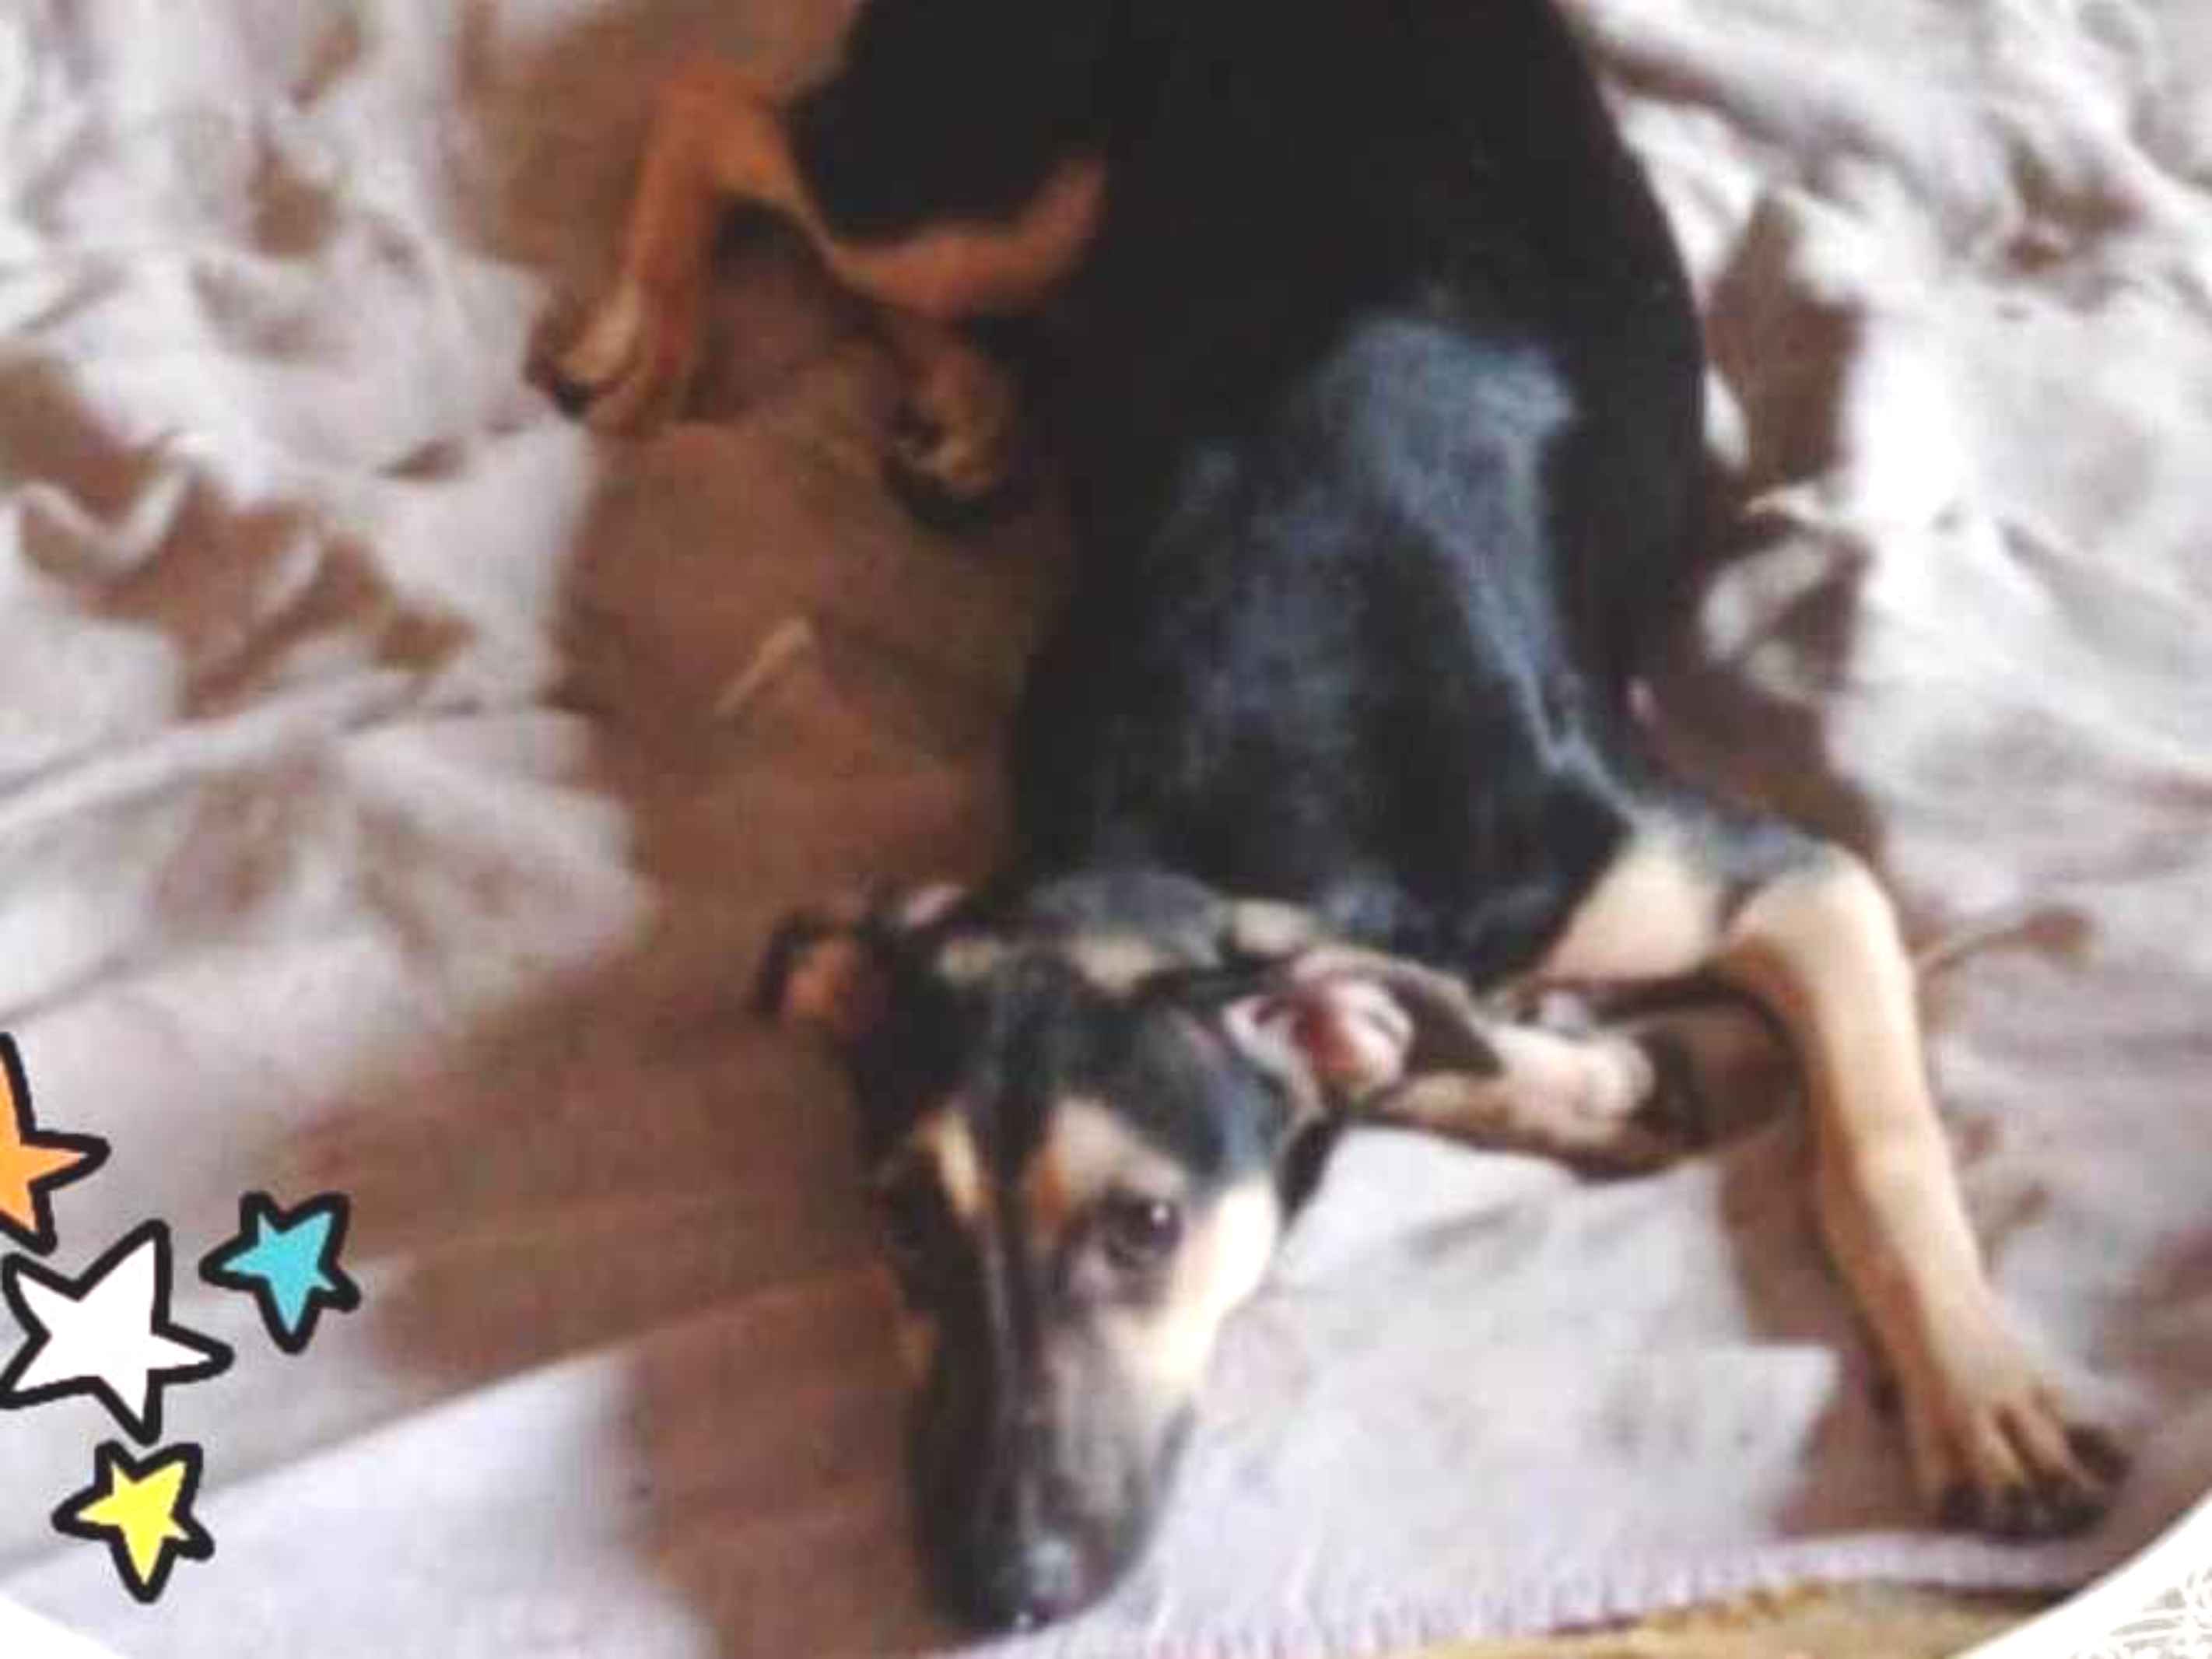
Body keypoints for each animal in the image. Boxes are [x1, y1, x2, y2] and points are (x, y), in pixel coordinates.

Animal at [544, 0, 2127, 1632]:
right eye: (900, 1219)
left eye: (1143, 1226)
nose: (994, 1590)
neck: (1200, 799)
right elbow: (1403, 1036)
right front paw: (1584, 1081)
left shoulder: (1784, 880)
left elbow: (1875, 1148)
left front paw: (1981, 1396)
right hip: (992, 199)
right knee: (729, 117)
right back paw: (719, 349)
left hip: (1000, 201)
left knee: (752, 127)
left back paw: (928, 400)